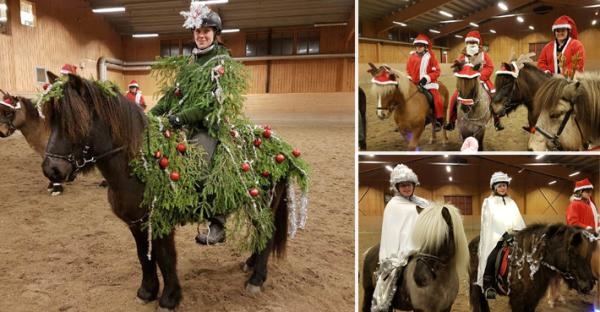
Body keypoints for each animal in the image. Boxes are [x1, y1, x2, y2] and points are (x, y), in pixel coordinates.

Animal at [39, 72, 298, 310]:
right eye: (51, 120)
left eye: (74, 122)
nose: (51, 170)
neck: (138, 165)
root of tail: (280, 147)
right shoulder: (137, 223)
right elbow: (144, 256)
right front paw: (147, 291)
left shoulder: (162, 222)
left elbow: (166, 258)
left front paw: (170, 298)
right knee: (262, 235)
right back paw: (250, 264)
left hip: (262, 204)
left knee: (267, 235)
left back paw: (256, 279)